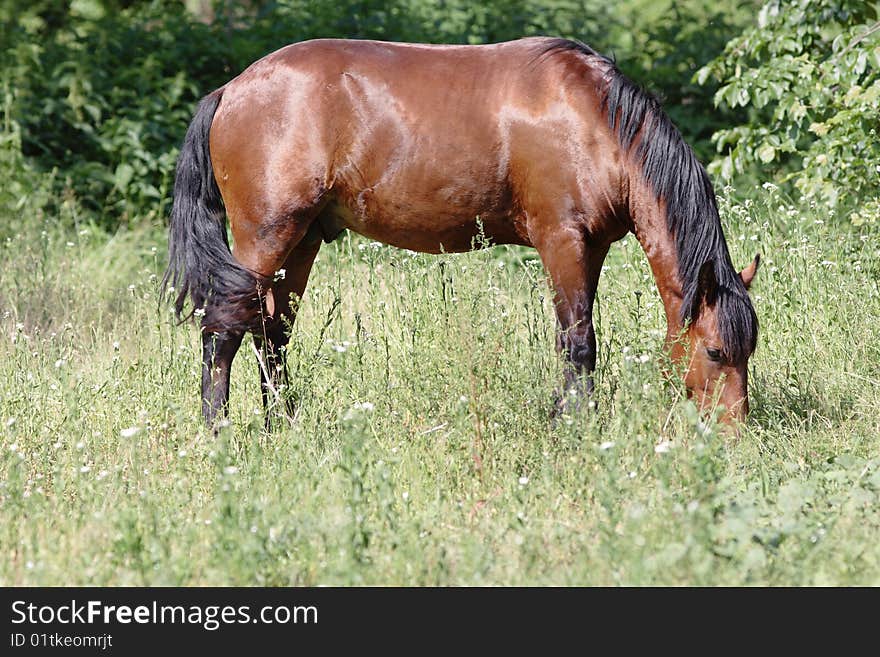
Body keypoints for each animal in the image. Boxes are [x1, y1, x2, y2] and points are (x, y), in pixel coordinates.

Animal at [162, 37, 760, 426]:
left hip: (301, 241)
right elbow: (578, 343)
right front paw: (576, 425)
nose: (731, 435)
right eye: (714, 352)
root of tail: (231, 89)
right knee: (223, 330)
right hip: (265, 237)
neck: (592, 121)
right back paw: (218, 433)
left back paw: (283, 427)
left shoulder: (591, 251)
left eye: (748, 351)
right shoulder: (561, 242)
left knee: (272, 333)